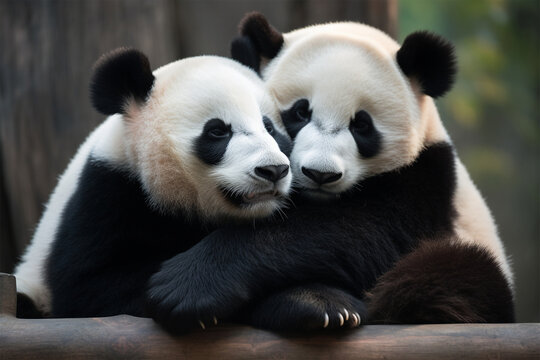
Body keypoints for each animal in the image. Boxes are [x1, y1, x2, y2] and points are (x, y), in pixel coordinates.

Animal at [143, 11, 516, 332]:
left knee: (451, 275)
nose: (320, 174)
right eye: (300, 112)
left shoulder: (422, 183)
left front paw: (187, 286)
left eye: (362, 125)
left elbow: (358, 232)